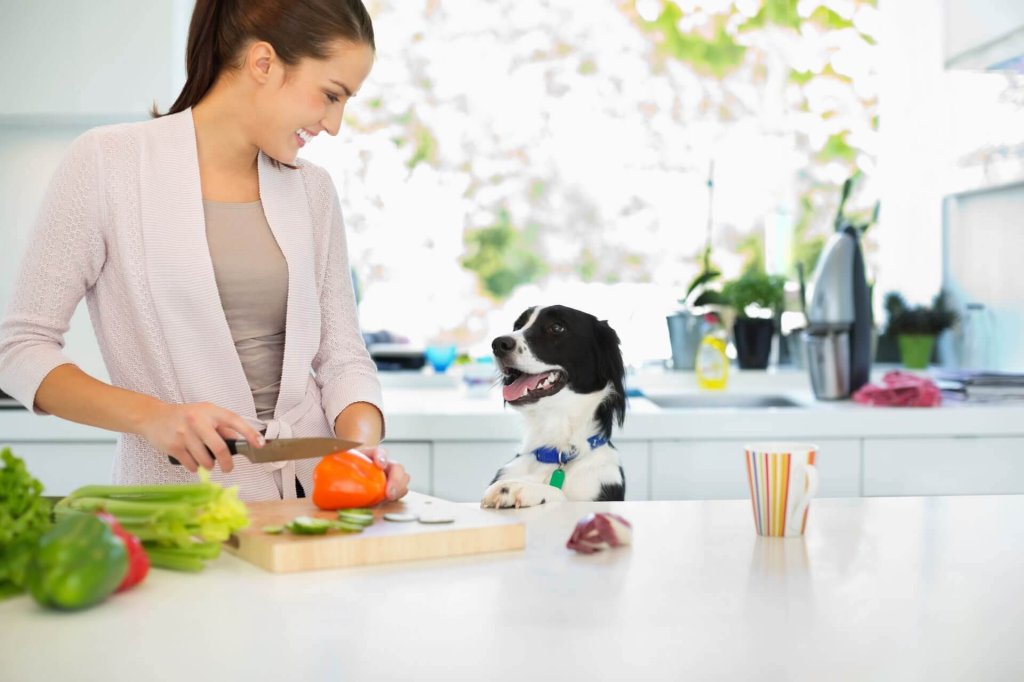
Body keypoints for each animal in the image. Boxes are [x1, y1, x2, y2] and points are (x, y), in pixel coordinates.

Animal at [477, 303, 622, 503]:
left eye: (557, 327)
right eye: (518, 326)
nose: (498, 344)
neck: (556, 450)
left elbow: (560, 495)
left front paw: (518, 488)